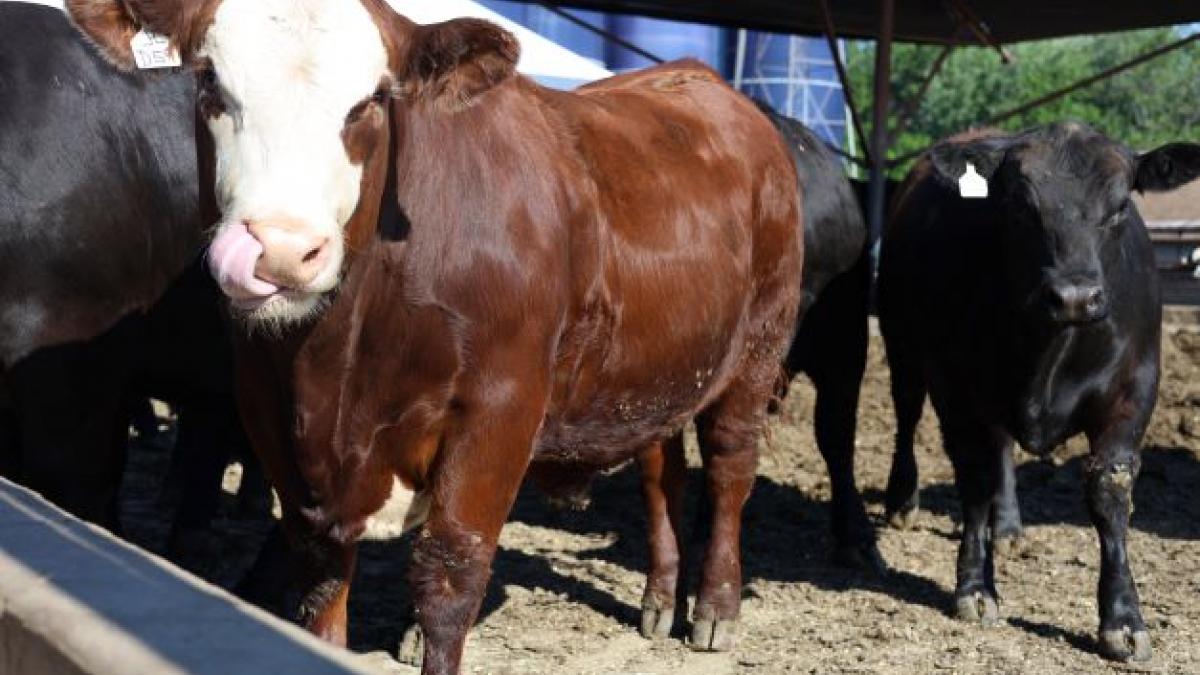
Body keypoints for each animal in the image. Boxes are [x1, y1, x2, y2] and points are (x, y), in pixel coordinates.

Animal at [67, 1, 804, 672]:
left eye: (371, 100)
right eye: (210, 83)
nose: (280, 250)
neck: (336, 362)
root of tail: (701, 80)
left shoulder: (500, 409)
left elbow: (451, 576)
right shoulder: (270, 412)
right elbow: (320, 587)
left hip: (758, 349)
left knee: (730, 467)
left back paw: (714, 608)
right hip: (654, 369)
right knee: (660, 469)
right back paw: (658, 597)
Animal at [877, 122, 1200, 662]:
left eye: (1120, 205)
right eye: (1020, 205)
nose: (1074, 297)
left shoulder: (1133, 391)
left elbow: (1110, 493)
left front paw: (1123, 620)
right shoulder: (954, 386)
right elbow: (974, 482)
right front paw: (975, 587)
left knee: (1003, 449)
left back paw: (1009, 527)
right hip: (899, 341)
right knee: (906, 414)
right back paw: (902, 501)